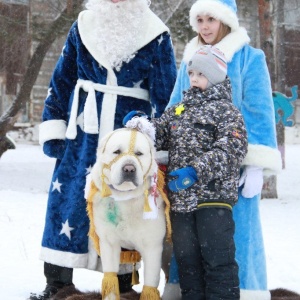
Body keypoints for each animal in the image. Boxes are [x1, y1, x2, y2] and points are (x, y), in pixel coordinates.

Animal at [86, 127, 171, 300]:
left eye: (139, 153)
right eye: (117, 151)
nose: (129, 169)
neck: (125, 198)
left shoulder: (152, 248)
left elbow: (149, 287)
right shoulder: (109, 244)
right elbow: (111, 281)